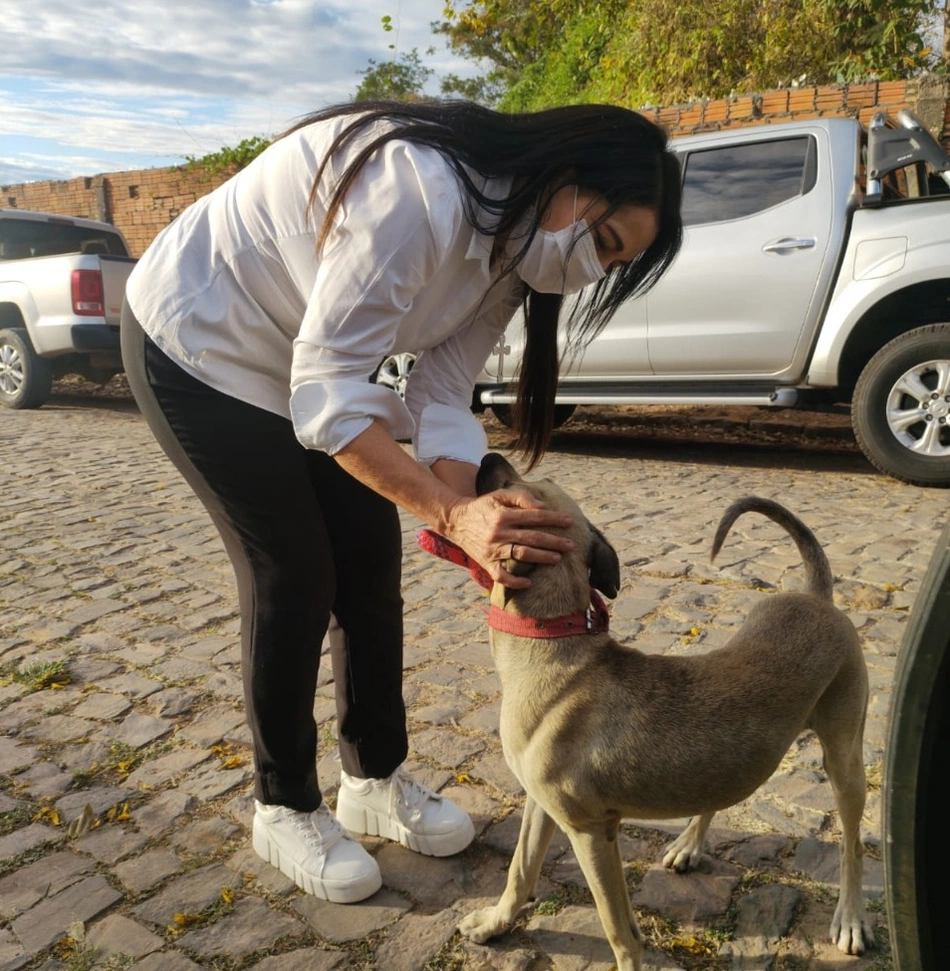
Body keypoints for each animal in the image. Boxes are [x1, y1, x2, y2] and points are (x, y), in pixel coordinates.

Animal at [458, 456, 872, 971]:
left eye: (514, 491)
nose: (489, 458)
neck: (552, 640)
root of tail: (815, 597)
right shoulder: (542, 806)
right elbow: (519, 872)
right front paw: (494, 925)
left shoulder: (591, 831)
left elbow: (617, 927)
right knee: (719, 790)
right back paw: (691, 843)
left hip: (844, 760)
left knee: (853, 846)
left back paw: (851, 916)